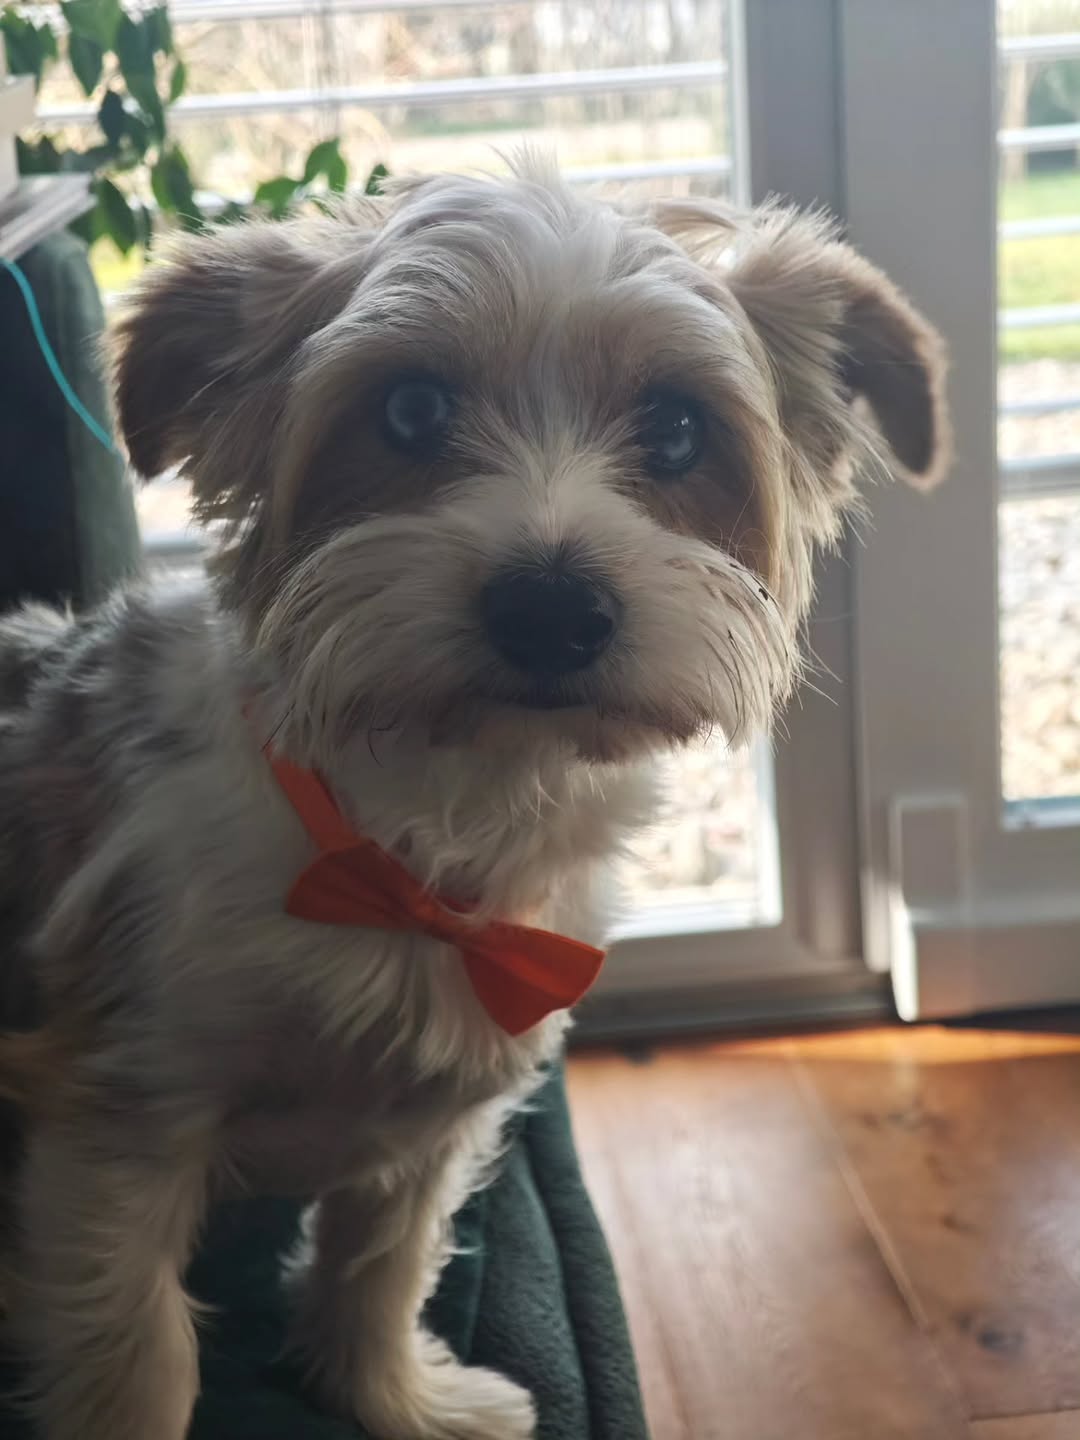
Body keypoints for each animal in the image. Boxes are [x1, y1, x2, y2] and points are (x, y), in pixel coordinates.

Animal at [0, 156, 947, 1440]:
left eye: (677, 428)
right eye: (409, 411)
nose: (552, 608)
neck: (410, 841)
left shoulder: (430, 1117)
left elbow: (380, 1264)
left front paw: (392, 1401)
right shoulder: (120, 1120)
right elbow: (137, 1352)